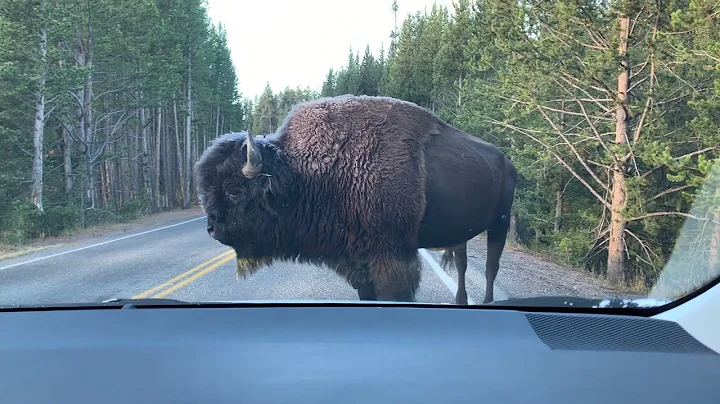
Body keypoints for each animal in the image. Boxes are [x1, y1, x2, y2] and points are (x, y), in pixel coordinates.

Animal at [194, 95, 517, 304]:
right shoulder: (358, 259)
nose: (211, 228)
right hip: (464, 232)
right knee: (463, 264)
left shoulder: (392, 256)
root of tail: (506, 161)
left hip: (500, 224)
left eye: (234, 191)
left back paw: (488, 302)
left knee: (491, 266)